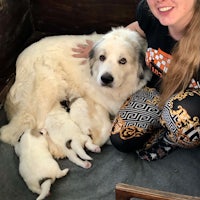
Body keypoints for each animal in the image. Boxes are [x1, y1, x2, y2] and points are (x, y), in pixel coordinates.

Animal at [0, 27, 152, 164]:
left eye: (123, 61)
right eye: (102, 57)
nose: (106, 79)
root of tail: (19, 63)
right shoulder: (95, 101)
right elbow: (106, 127)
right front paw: (95, 140)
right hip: (48, 90)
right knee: (18, 131)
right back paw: (57, 149)